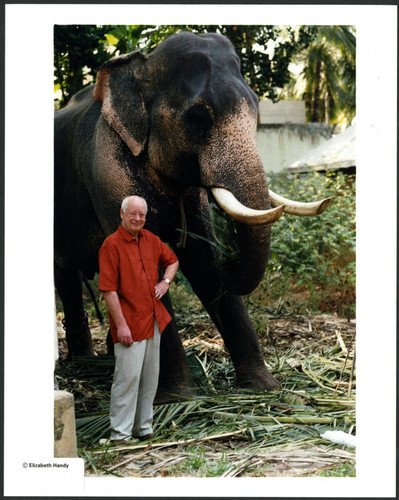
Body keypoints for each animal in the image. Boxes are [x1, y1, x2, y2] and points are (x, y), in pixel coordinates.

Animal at [54, 32, 332, 398]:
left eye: (257, 109)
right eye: (197, 117)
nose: (232, 255)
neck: (141, 66)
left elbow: (203, 260)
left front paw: (264, 388)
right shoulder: (107, 170)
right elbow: (146, 271)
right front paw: (181, 397)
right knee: (66, 276)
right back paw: (85, 365)